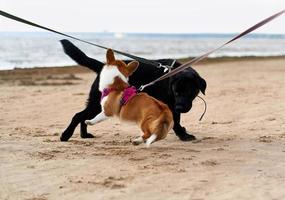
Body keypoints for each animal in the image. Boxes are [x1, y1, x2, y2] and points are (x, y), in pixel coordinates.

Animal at [60, 39, 206, 141]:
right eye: (176, 92)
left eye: (189, 92)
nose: (180, 107)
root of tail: (103, 65)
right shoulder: (171, 104)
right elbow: (176, 122)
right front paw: (183, 135)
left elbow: (177, 121)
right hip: (97, 102)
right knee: (78, 115)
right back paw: (66, 135)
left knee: (83, 116)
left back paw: (84, 134)